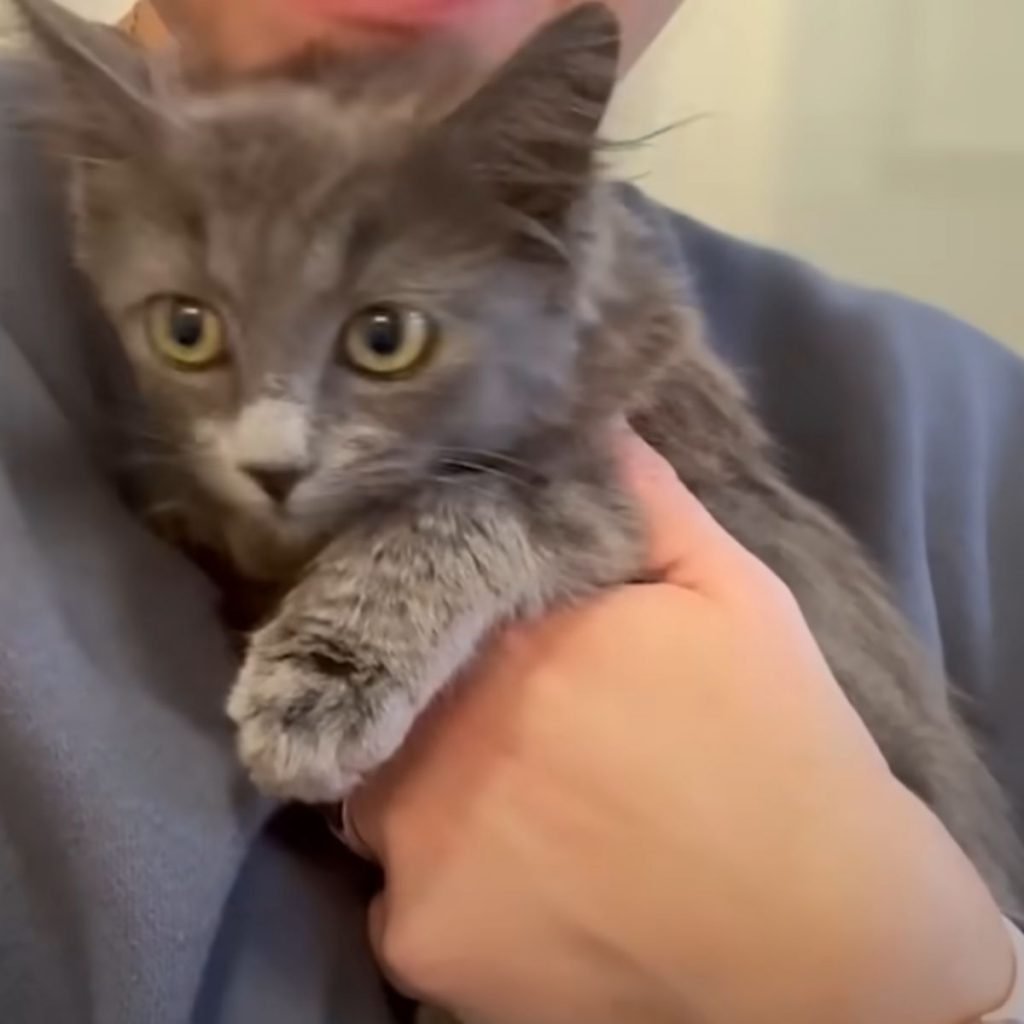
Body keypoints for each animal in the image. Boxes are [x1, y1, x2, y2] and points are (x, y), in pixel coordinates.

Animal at [18, 0, 1024, 913]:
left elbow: (461, 509)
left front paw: (318, 685)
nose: (273, 469)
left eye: (386, 339)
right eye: (186, 331)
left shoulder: (637, 489)